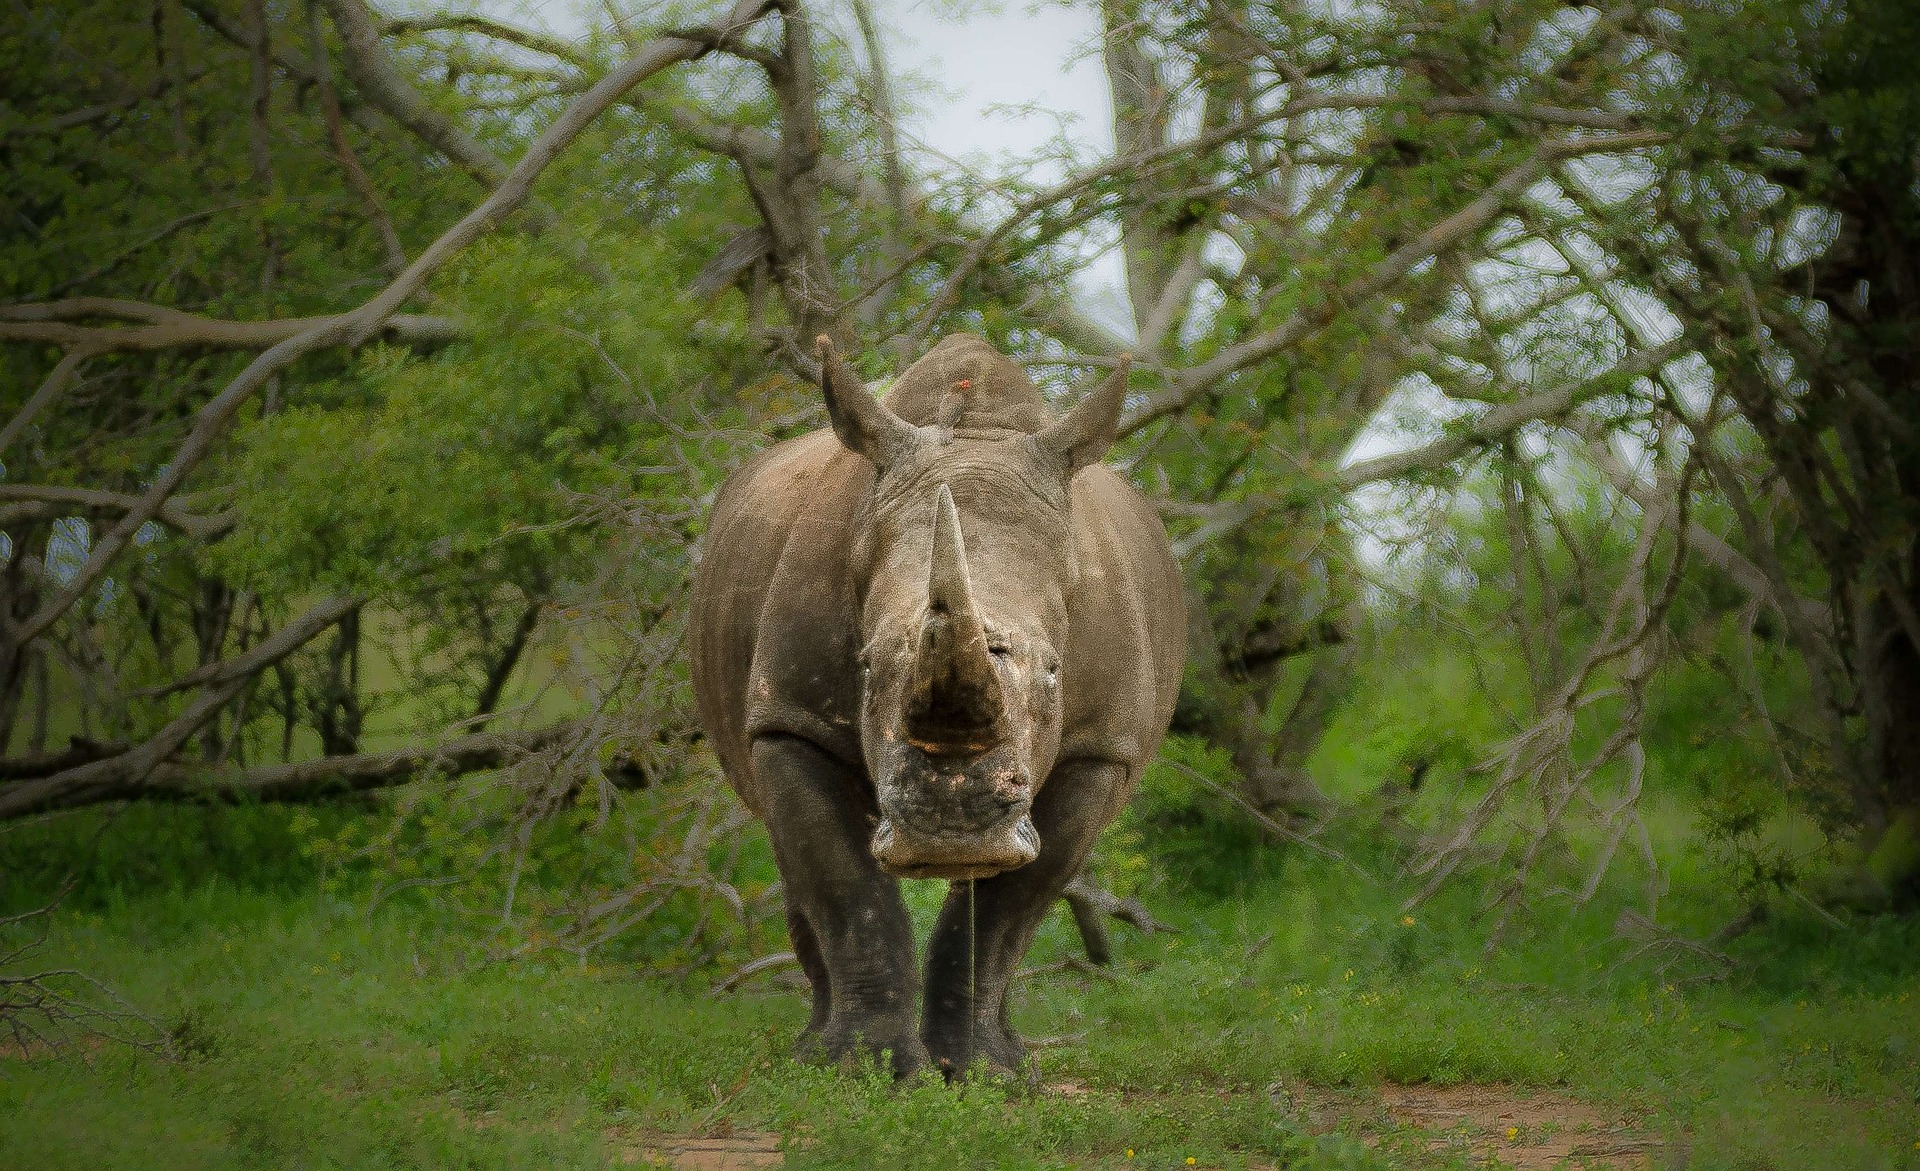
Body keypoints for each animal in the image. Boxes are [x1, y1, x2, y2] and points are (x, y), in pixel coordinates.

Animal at [688, 332, 1184, 1078]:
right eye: (867, 666)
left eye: (1054, 670)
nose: (951, 829)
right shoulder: (792, 721)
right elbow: (846, 885)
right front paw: (863, 1068)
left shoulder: (1103, 746)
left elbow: (1010, 906)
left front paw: (987, 1073)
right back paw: (811, 1047)